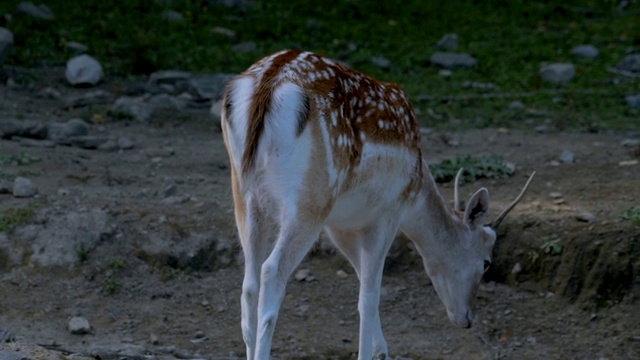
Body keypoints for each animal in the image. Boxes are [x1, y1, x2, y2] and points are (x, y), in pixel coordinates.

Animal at [221, 48, 536, 360]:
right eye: (486, 262)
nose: (469, 318)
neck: (416, 187)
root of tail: (268, 82)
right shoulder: (387, 212)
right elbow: (369, 297)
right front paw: (374, 352)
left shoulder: (340, 224)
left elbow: (363, 280)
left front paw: (381, 349)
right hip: (309, 201)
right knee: (271, 271)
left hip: (245, 195)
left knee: (249, 284)